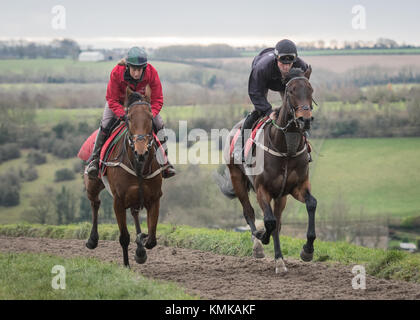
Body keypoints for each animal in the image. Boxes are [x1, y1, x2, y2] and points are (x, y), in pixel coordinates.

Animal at [83, 85, 162, 268]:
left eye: (150, 117)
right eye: (129, 118)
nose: (141, 151)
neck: (139, 165)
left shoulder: (154, 198)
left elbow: (152, 239)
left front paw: (141, 247)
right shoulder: (118, 201)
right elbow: (124, 237)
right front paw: (126, 265)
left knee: (134, 213)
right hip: (93, 185)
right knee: (95, 203)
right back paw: (92, 240)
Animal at [217, 67, 316, 272]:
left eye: (311, 90)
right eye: (291, 91)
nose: (305, 119)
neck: (286, 149)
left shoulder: (297, 187)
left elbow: (311, 204)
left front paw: (307, 250)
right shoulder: (262, 189)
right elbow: (268, 221)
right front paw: (262, 236)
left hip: (281, 196)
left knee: (277, 221)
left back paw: (279, 259)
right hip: (237, 180)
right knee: (249, 212)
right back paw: (258, 245)